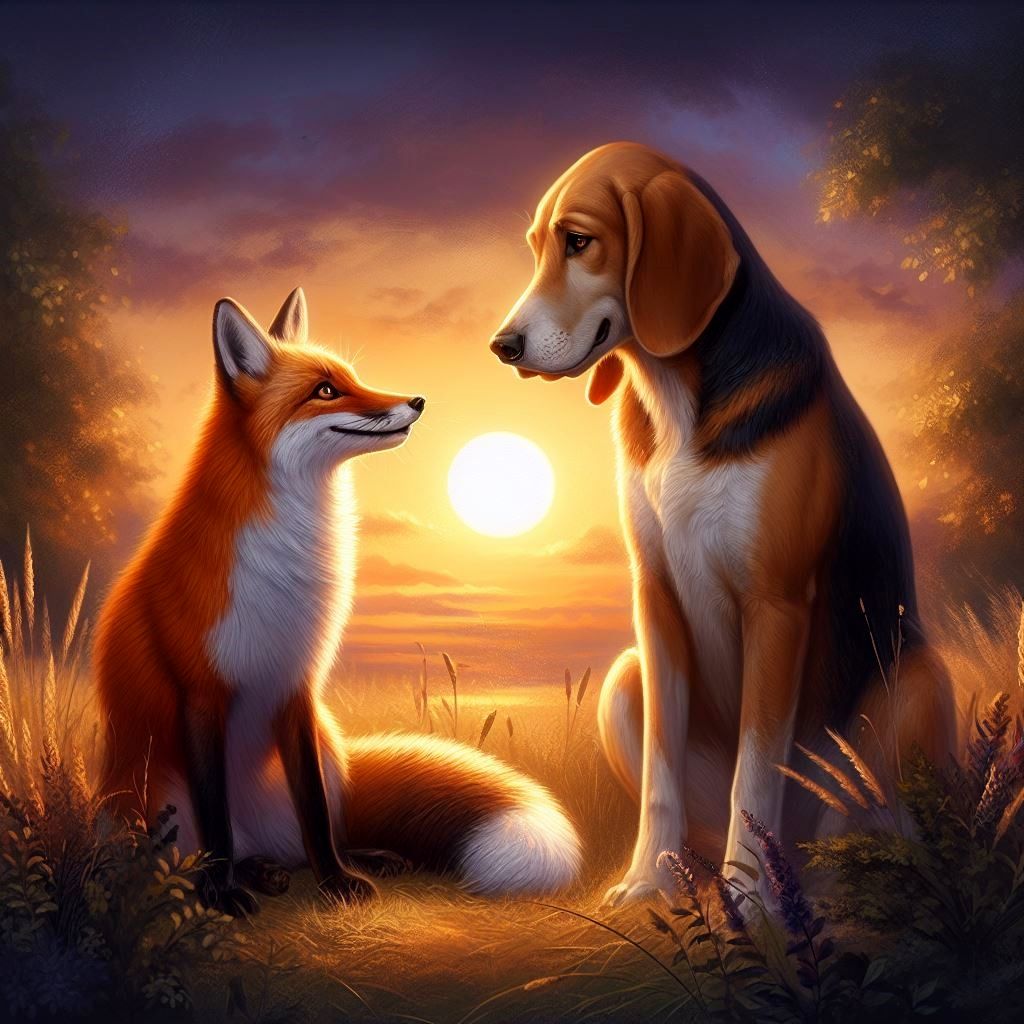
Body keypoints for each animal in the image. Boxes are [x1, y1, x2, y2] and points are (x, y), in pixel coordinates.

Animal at [94, 287, 581, 914]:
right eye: (325, 390)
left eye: (353, 378)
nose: (417, 400)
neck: (282, 561)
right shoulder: (199, 693)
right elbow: (215, 820)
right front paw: (220, 895)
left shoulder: (296, 686)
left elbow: (317, 814)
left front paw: (337, 882)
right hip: (153, 794)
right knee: (206, 843)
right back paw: (245, 875)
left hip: (326, 748)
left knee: (310, 835)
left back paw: (338, 861)